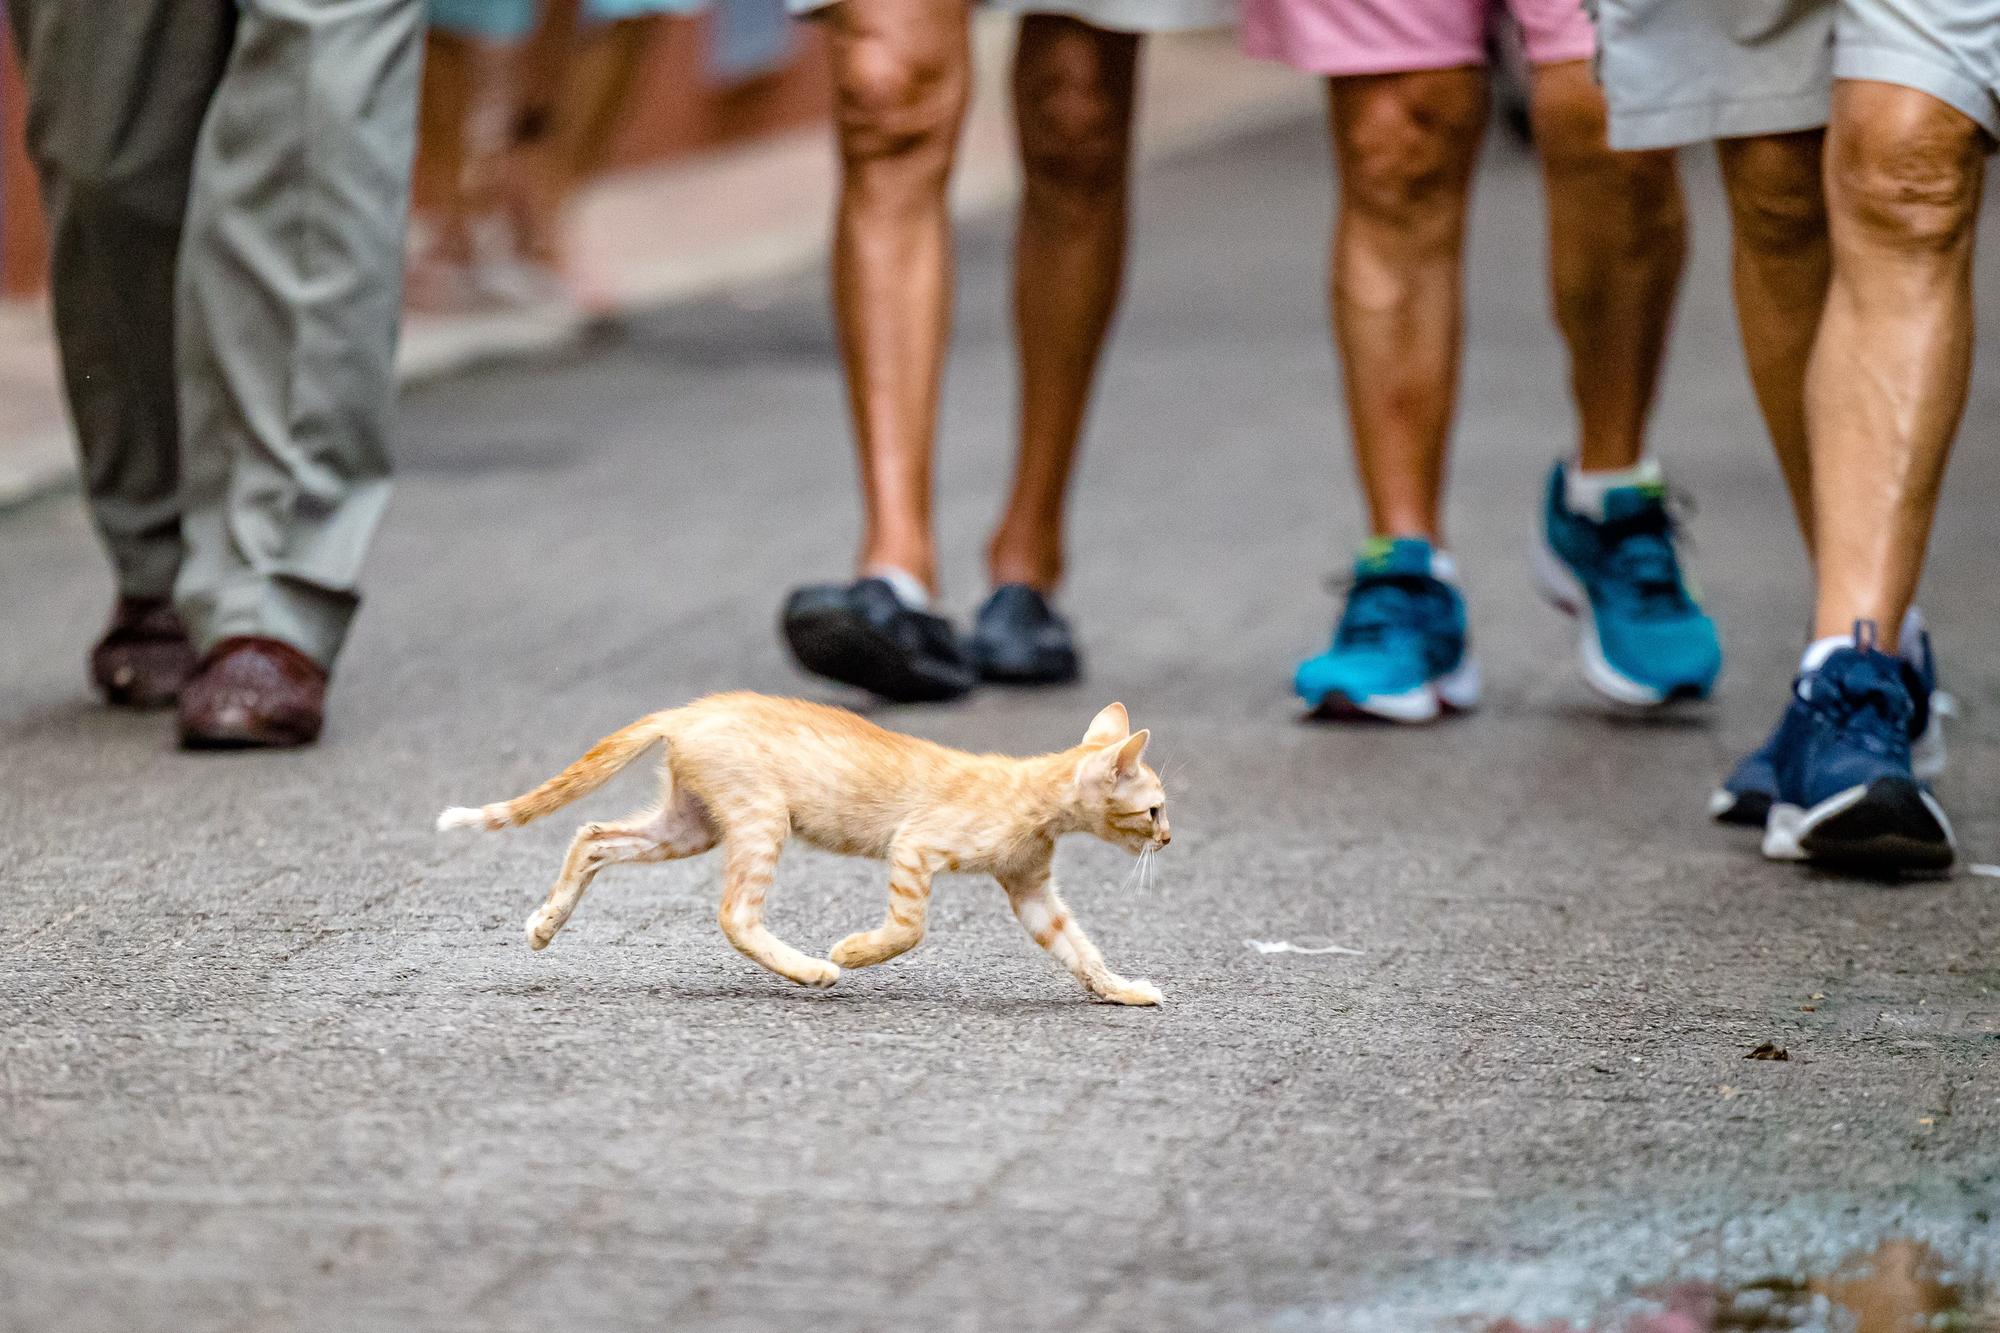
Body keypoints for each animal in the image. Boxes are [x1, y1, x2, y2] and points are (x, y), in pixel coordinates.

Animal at [430, 696, 1168, 996]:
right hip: (761, 818)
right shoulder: (916, 845)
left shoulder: (1031, 889)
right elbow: (910, 926)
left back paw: (546, 922)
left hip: (691, 826)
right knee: (734, 914)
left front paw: (1122, 991)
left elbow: (1079, 948)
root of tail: (691, 708)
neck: (1034, 795)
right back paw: (811, 969)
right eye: (1156, 808)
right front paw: (854, 951)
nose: (1167, 838)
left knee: (591, 836)